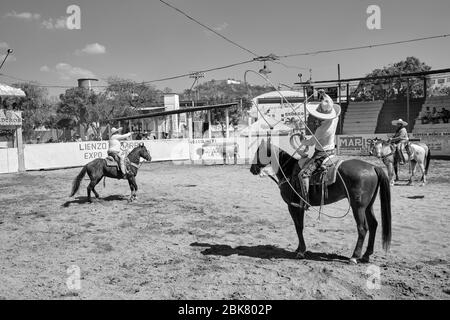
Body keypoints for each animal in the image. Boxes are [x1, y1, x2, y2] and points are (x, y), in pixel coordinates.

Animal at [250, 139, 390, 264]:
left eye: (258, 152)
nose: (252, 169)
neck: (288, 171)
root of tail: (373, 167)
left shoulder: (293, 206)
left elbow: (298, 226)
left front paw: (301, 251)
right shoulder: (298, 206)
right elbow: (299, 226)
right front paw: (299, 249)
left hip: (358, 207)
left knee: (362, 228)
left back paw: (354, 256)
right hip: (368, 206)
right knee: (373, 225)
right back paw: (366, 255)